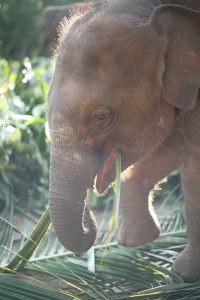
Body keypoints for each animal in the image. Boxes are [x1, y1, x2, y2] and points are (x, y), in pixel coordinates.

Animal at [47, 0, 200, 282]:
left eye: (100, 117)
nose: (90, 217)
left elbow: (193, 165)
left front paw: (184, 274)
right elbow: (170, 145)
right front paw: (135, 241)